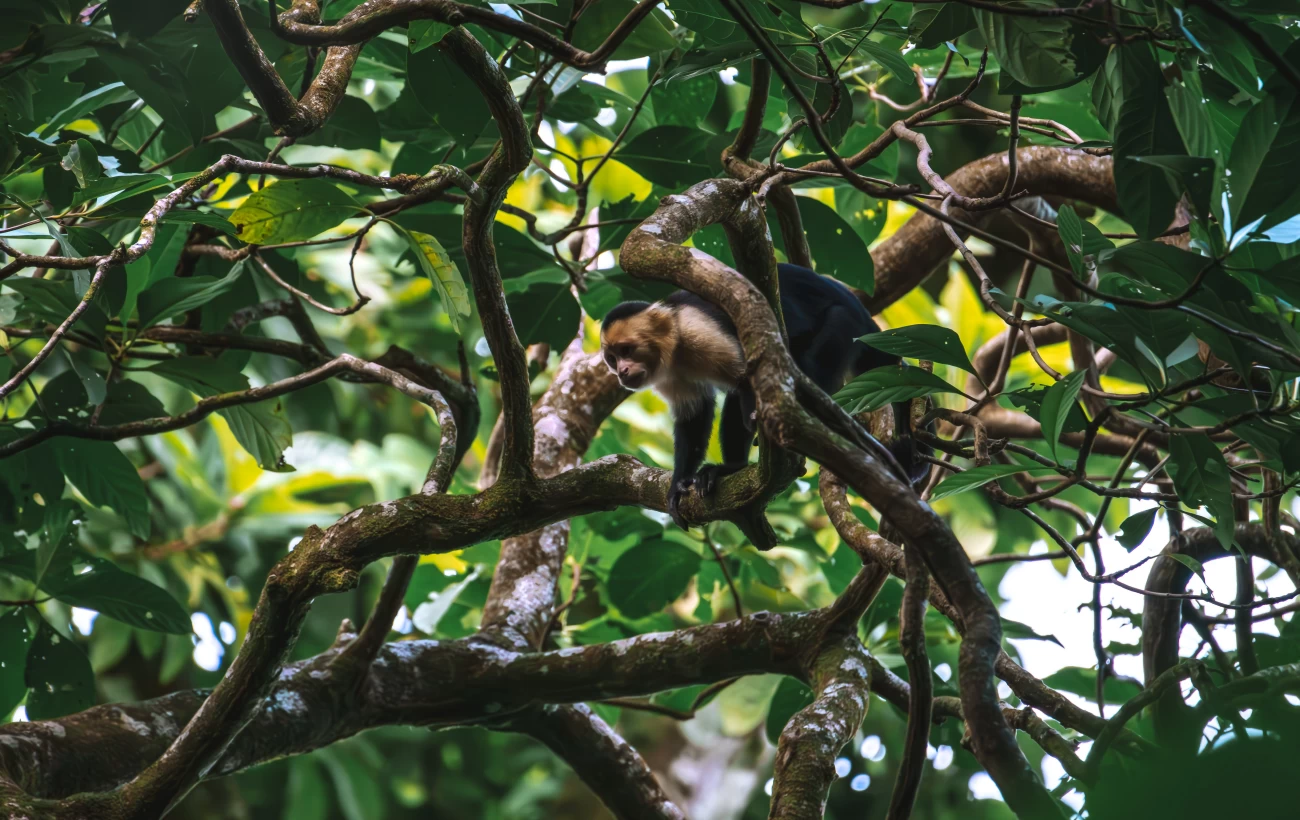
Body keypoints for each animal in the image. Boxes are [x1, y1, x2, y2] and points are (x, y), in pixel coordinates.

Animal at [600, 262, 930, 532]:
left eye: (627, 349)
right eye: (612, 358)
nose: (622, 372)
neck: (677, 345)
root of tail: (863, 314)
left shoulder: (699, 329)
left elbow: (747, 376)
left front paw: (751, 429)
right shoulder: (669, 373)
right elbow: (694, 415)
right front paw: (680, 484)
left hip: (846, 325)